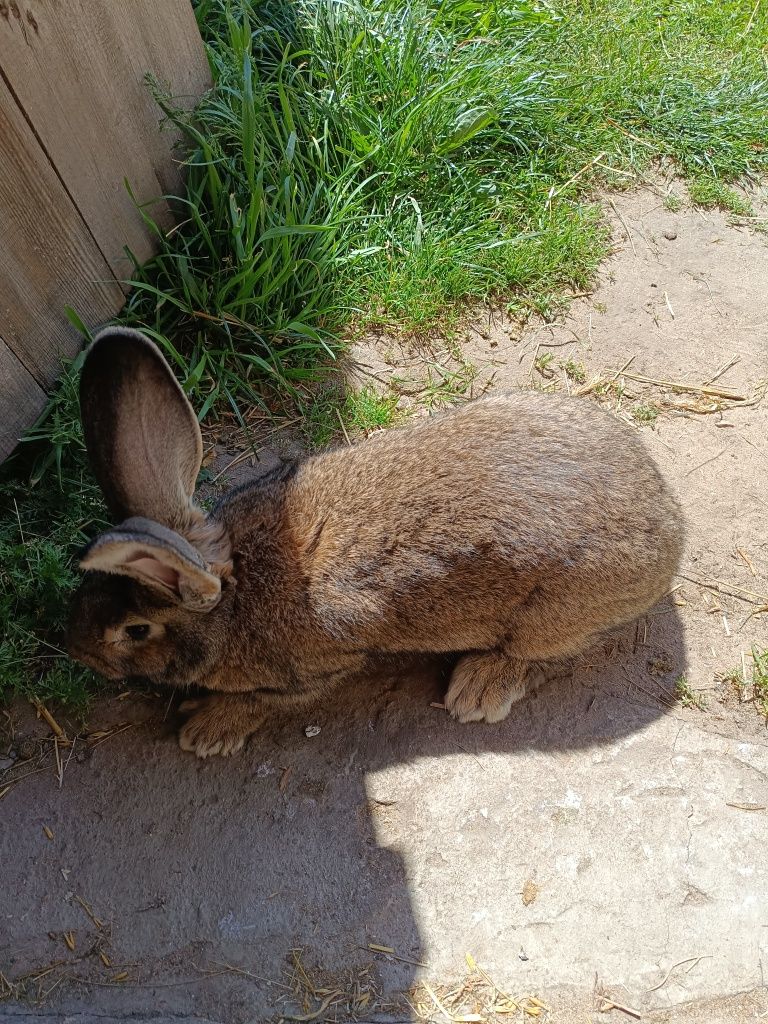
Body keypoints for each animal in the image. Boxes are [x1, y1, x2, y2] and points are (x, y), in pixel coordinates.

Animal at [67, 323, 684, 757]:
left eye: (135, 630)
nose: (76, 651)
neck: (235, 593)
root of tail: (669, 518)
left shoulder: (312, 672)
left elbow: (265, 702)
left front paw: (207, 729)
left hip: (551, 617)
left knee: (537, 654)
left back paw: (477, 691)